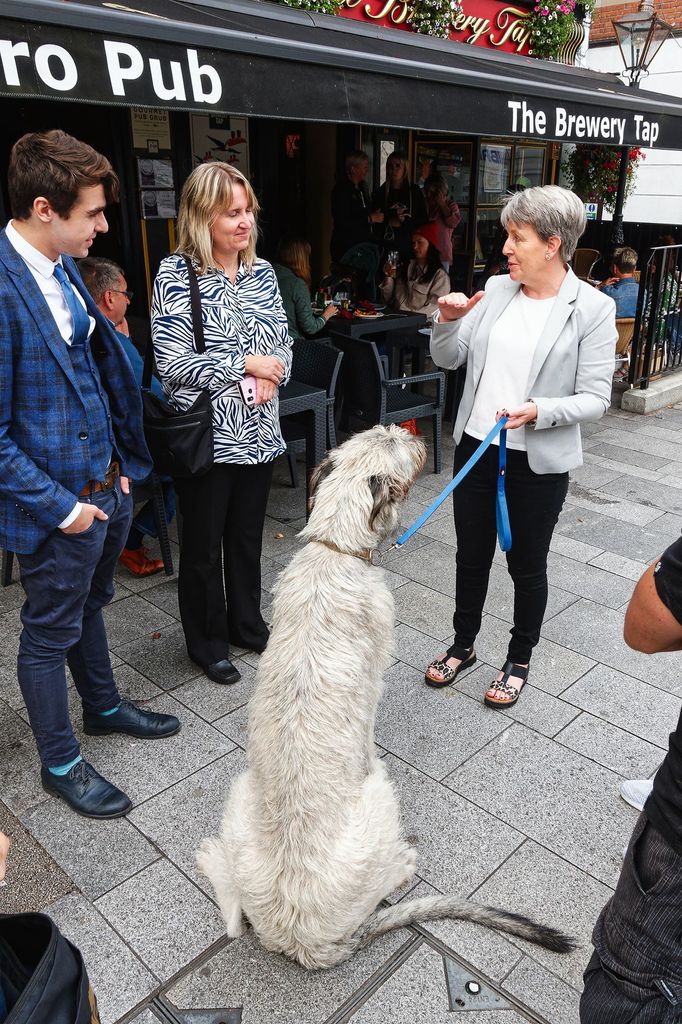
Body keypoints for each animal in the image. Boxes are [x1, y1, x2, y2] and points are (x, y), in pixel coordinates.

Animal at [197, 423, 573, 966]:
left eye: (375, 432)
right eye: (392, 442)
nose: (415, 435)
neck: (335, 548)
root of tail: (302, 939)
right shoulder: (375, 672)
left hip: (241, 794)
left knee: (232, 911)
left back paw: (212, 860)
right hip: (380, 796)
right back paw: (403, 864)